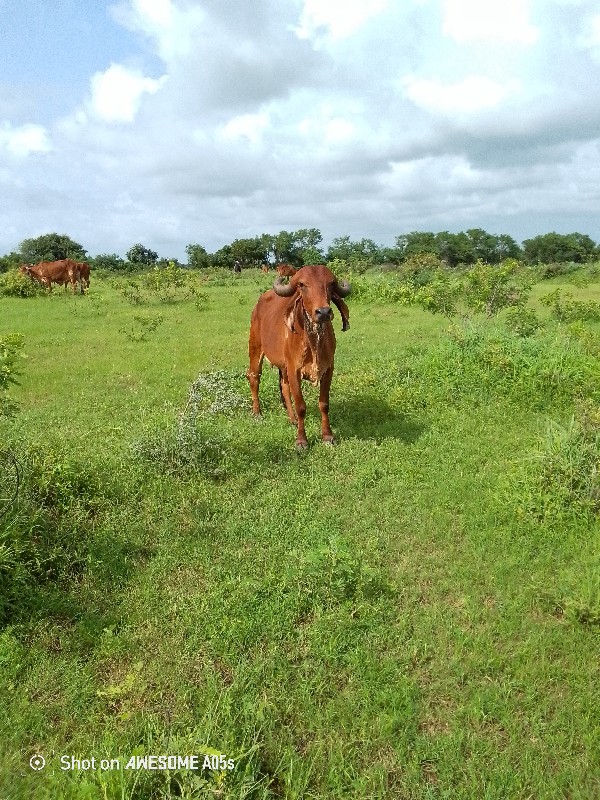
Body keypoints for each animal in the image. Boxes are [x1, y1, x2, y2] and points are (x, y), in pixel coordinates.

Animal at [247, 264, 352, 446]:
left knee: (284, 386)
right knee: (254, 377)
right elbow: (301, 406)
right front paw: (301, 440)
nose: (323, 312)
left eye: (331, 284)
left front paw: (327, 436)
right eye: (302, 284)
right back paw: (257, 413)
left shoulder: (328, 369)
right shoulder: (294, 369)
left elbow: (324, 403)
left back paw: (292, 419)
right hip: (255, 349)